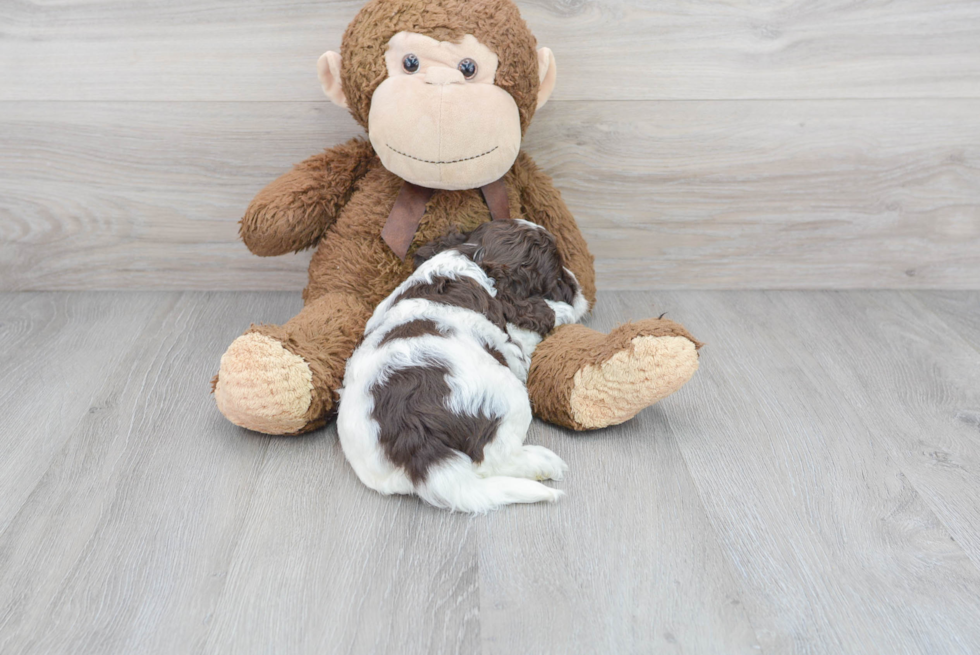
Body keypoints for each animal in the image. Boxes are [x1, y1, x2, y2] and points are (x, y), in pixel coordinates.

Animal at [336, 219, 584, 512]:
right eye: (556, 277)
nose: (578, 285)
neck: (471, 256)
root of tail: (413, 436)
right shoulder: (515, 345)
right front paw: (566, 310)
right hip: (510, 396)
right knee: (492, 459)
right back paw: (543, 462)